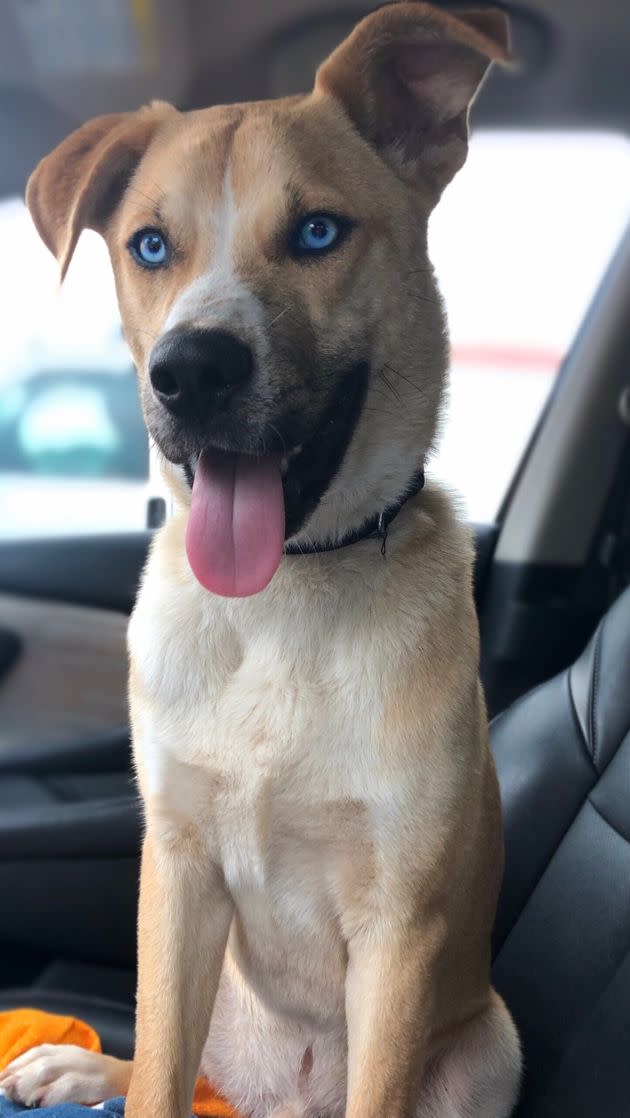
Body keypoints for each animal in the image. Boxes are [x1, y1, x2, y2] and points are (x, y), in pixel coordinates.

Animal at [0, 4, 522, 1113]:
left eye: (318, 232)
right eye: (151, 244)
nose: (191, 371)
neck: (281, 600)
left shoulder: (399, 929)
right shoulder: (177, 871)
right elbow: (158, 1071)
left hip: (489, 1046)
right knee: (183, 1065)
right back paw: (80, 1060)